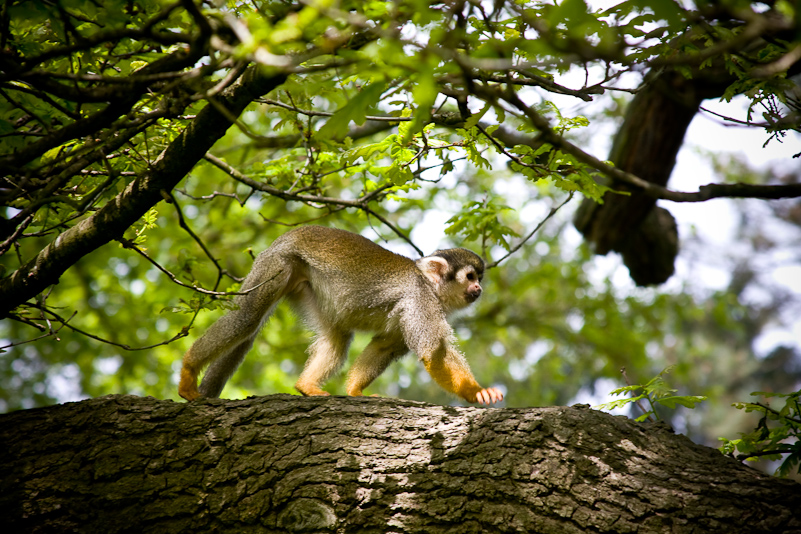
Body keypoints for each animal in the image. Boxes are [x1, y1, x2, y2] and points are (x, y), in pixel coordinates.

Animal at [178, 226, 504, 406]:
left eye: (479, 279)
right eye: (470, 277)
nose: (478, 288)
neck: (429, 286)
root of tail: (287, 236)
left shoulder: (415, 306)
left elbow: (383, 346)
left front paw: (355, 391)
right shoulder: (419, 299)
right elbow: (433, 353)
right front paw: (477, 392)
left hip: (303, 281)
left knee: (338, 336)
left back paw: (306, 387)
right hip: (278, 263)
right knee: (247, 318)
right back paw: (189, 368)